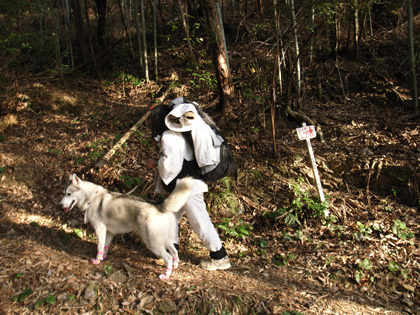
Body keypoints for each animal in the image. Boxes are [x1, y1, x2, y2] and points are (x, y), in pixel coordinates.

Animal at [59, 174, 194, 280]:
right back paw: (175, 266)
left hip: (153, 243)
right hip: (165, 240)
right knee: (174, 251)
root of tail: (158, 205)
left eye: (69, 194)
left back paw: (166, 275)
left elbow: (99, 246)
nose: (60, 205)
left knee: (168, 257)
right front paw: (103, 257)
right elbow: (105, 246)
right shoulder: (109, 232)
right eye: (64, 193)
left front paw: (97, 260)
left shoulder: (100, 229)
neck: (91, 198)